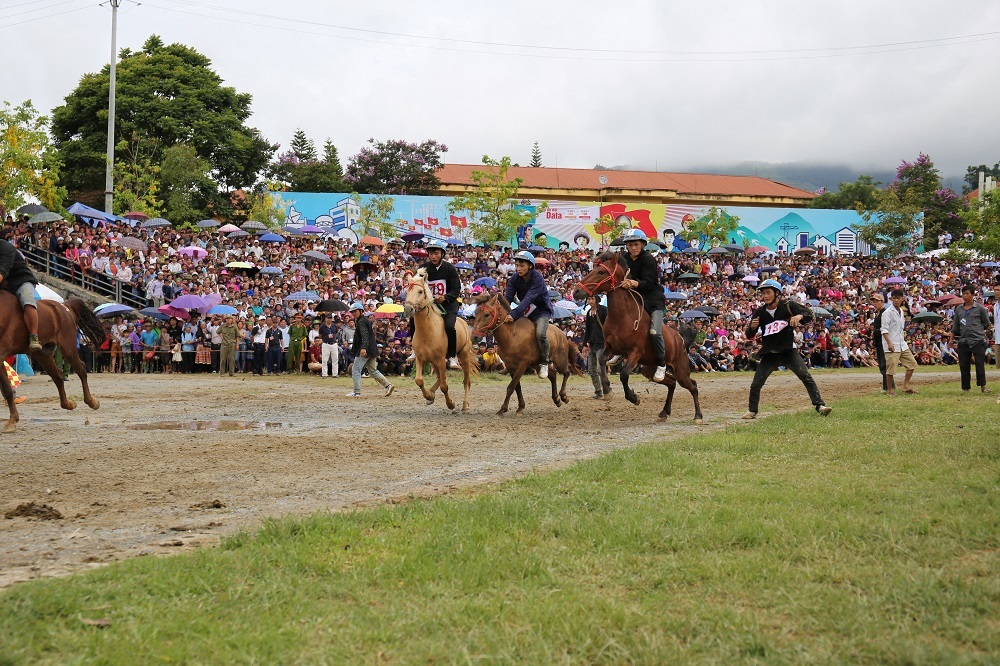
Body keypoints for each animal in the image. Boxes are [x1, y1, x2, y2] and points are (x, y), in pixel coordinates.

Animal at [0, 290, 104, 430]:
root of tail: (64, 306)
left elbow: (7, 389)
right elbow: (7, 390)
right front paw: (12, 420)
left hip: (68, 347)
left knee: (80, 369)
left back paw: (91, 401)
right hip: (42, 353)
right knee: (58, 376)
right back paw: (68, 404)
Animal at [400, 270, 478, 410]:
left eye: (420, 291)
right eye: (407, 291)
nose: (409, 309)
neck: (428, 331)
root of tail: (464, 322)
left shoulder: (441, 359)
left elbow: (444, 386)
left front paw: (450, 404)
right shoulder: (420, 359)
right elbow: (419, 380)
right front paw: (429, 396)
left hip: (463, 355)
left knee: (466, 381)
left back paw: (465, 405)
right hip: (433, 362)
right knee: (439, 377)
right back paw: (431, 393)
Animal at [576, 252, 708, 422]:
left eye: (601, 272)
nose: (576, 291)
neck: (623, 316)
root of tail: (679, 339)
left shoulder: (635, 352)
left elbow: (624, 374)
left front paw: (633, 397)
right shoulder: (610, 348)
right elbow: (601, 363)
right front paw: (607, 390)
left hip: (681, 369)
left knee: (692, 385)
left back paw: (698, 415)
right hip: (649, 369)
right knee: (671, 383)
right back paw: (664, 412)